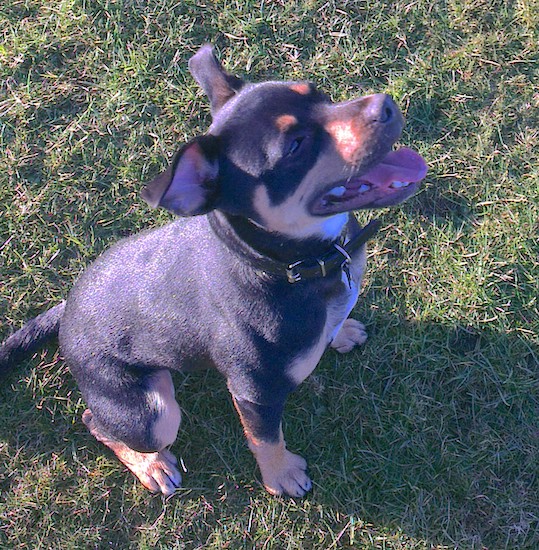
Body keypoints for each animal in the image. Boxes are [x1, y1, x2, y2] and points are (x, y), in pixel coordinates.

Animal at [2, 45, 428, 498]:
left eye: (319, 93)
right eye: (295, 146)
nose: (385, 105)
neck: (290, 265)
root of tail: (65, 312)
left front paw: (342, 331)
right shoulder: (253, 393)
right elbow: (265, 437)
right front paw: (281, 477)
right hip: (151, 412)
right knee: (98, 424)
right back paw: (151, 465)